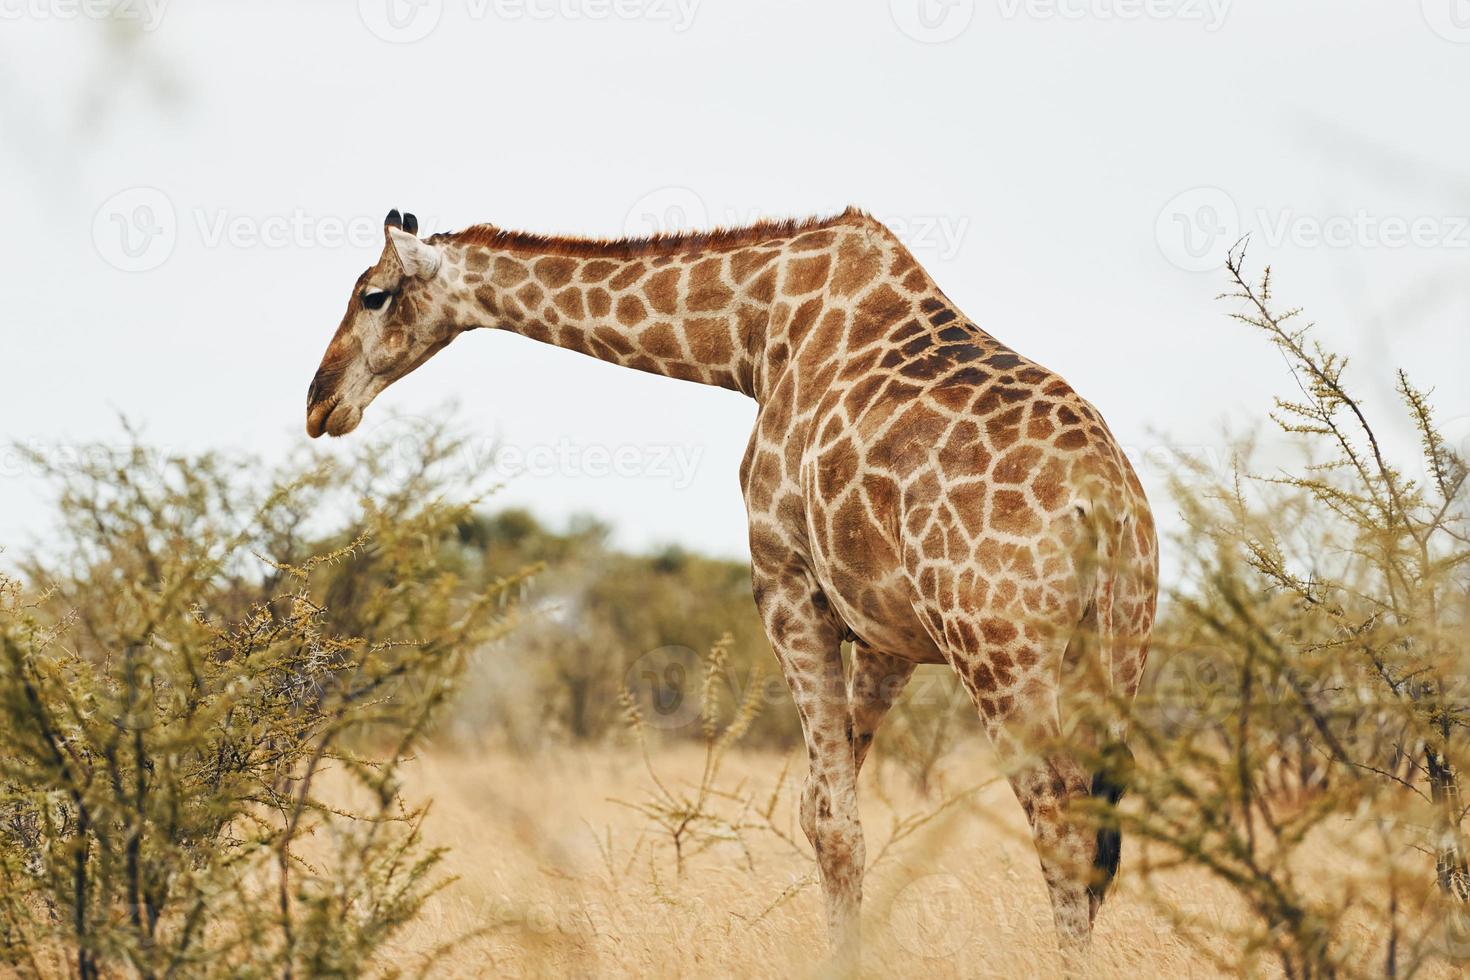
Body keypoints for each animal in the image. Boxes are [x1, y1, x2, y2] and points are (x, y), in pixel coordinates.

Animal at [307, 207, 1158, 963]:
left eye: (373, 294)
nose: (319, 401)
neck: (749, 340)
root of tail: (1105, 505)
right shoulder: (888, 637)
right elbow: (827, 807)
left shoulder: (787, 584)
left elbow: (832, 822)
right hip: (1116, 650)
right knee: (1097, 824)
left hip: (998, 652)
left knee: (1057, 814)